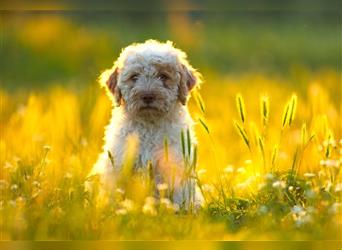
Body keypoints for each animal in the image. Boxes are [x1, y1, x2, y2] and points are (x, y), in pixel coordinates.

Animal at [89, 40, 204, 208]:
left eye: (163, 76)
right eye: (134, 76)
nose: (148, 96)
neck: (149, 125)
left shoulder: (175, 165)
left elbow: (177, 195)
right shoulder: (120, 165)